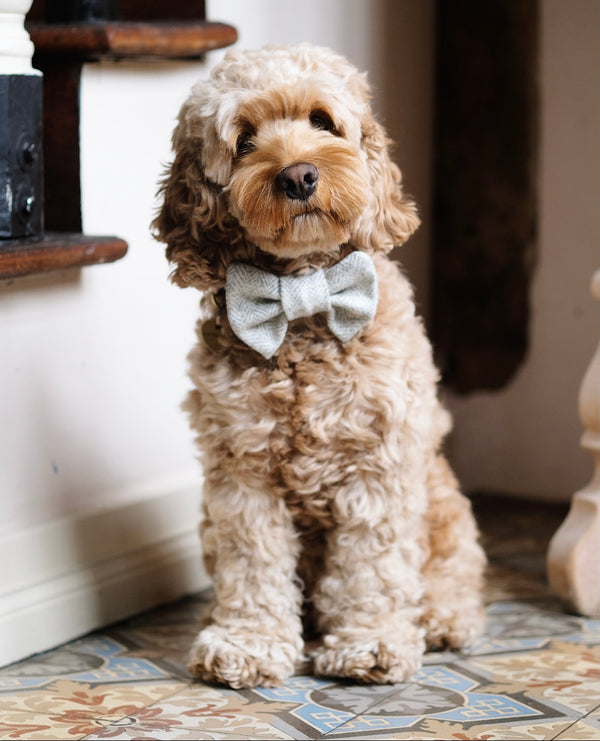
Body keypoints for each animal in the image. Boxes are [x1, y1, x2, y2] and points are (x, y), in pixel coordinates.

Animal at [152, 42, 486, 688]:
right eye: (245, 140)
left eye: (322, 121)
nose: (298, 176)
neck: (303, 301)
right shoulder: (242, 473)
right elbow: (252, 563)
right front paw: (249, 643)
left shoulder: (377, 466)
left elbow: (372, 566)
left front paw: (371, 642)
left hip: (442, 501)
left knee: (453, 573)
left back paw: (441, 618)